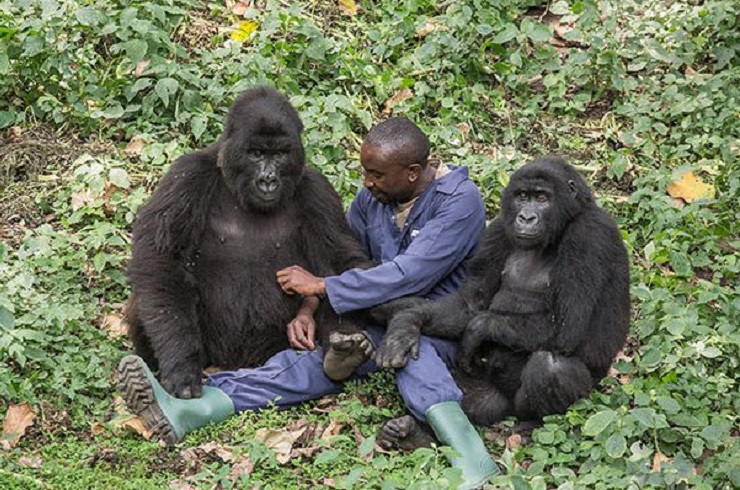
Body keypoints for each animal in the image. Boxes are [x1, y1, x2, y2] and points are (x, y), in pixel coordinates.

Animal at [124, 87, 372, 402]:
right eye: (256, 154)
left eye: (279, 154)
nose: (268, 180)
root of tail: (236, 364)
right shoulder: (187, 176)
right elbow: (162, 258)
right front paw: (181, 364)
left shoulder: (319, 192)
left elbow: (342, 262)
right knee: (152, 291)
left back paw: (342, 354)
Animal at [376, 158, 632, 448]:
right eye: (522, 197)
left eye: (542, 198)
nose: (526, 217)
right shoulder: (498, 230)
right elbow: (469, 303)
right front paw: (406, 323)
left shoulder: (589, 236)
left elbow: (566, 325)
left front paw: (478, 329)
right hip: (492, 397)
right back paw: (415, 434)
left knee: (549, 366)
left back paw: (535, 425)